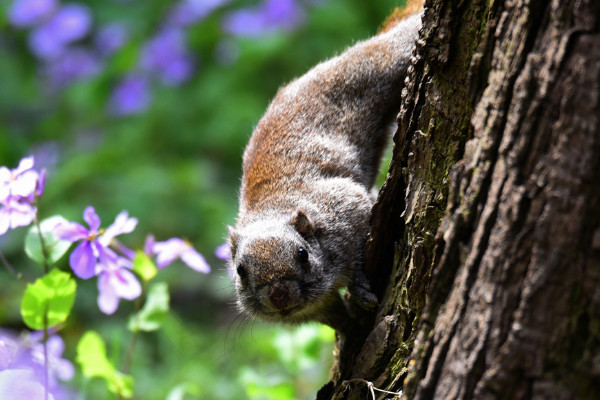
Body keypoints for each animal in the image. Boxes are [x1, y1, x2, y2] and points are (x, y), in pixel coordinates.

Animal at [227, 4, 424, 336]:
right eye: (240, 270)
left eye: (302, 254)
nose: (279, 294)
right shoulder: (316, 309)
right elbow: (335, 317)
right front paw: (350, 331)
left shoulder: (345, 206)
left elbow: (357, 255)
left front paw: (357, 286)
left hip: (377, 66)